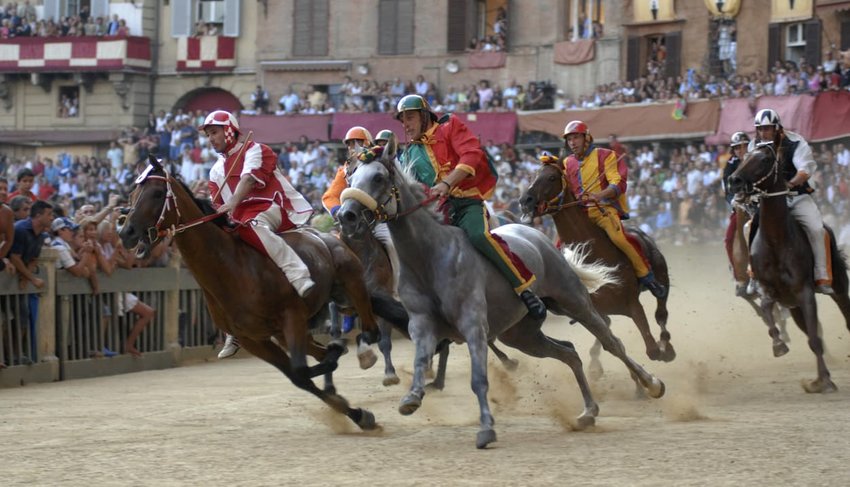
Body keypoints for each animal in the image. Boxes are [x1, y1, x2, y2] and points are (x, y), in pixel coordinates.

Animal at [119, 157, 408, 430]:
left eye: (157, 193)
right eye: (133, 193)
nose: (126, 232)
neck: (231, 267)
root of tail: (330, 237)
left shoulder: (291, 315)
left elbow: (302, 370)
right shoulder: (253, 339)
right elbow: (300, 376)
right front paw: (358, 414)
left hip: (350, 286)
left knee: (371, 330)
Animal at [516, 161, 676, 378]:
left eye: (551, 177)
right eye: (533, 175)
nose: (525, 200)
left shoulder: (632, 304)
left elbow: (650, 349)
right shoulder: (593, 308)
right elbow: (611, 339)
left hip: (661, 276)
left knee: (661, 311)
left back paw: (667, 348)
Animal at [724, 144, 848, 392]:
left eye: (764, 160)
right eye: (745, 156)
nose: (735, 181)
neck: (776, 240)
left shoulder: (804, 292)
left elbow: (814, 339)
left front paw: (826, 381)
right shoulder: (769, 290)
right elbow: (767, 311)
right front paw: (779, 344)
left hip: (837, 286)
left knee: (844, 312)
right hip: (794, 306)